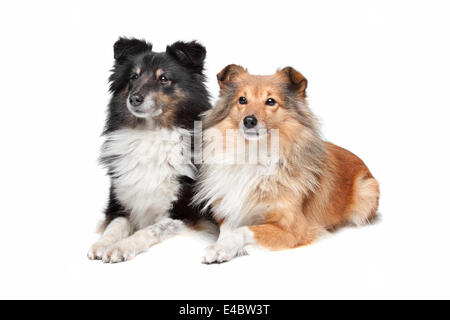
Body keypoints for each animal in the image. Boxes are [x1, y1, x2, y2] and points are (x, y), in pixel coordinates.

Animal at [89, 38, 214, 262]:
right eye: (134, 76)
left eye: (164, 78)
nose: (134, 98)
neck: (150, 133)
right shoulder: (118, 204)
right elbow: (114, 225)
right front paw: (102, 244)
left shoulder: (187, 217)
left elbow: (151, 229)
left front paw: (121, 247)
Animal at [193, 64, 380, 262]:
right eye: (242, 100)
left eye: (270, 101)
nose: (249, 121)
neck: (254, 153)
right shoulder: (230, 209)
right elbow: (228, 230)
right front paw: (220, 247)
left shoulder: (295, 228)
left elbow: (243, 230)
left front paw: (229, 248)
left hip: (367, 192)